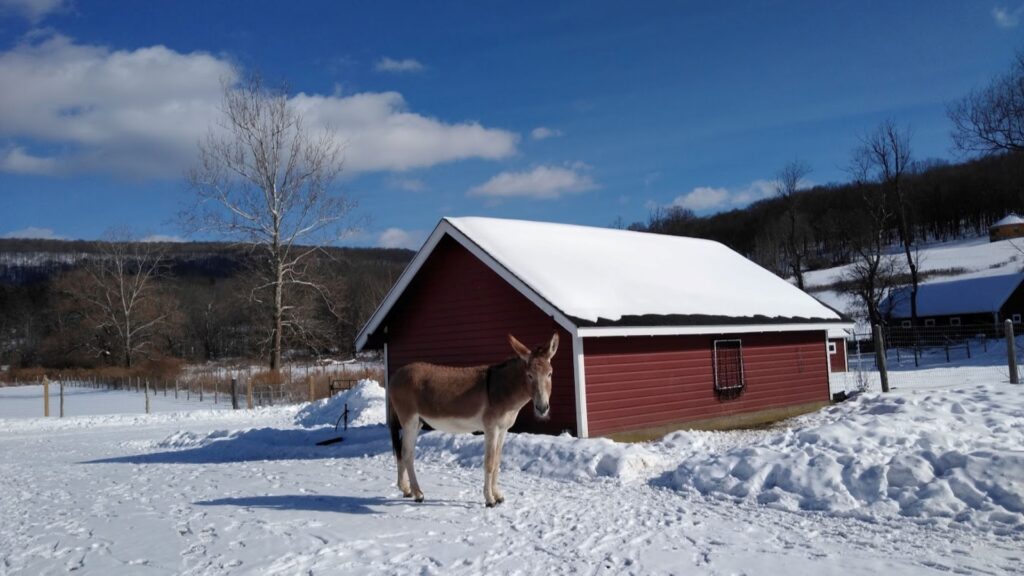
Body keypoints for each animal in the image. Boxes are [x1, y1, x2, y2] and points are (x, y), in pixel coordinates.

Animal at [387, 332, 559, 507]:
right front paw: (489, 499)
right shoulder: (491, 429)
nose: (542, 408)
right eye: (529, 375)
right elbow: (489, 463)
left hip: (417, 422)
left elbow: (497, 462)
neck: (500, 389)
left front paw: (498, 495)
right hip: (409, 420)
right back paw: (418, 494)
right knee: (407, 453)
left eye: (550, 374)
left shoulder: (503, 430)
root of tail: (396, 375)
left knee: (402, 451)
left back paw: (406, 489)